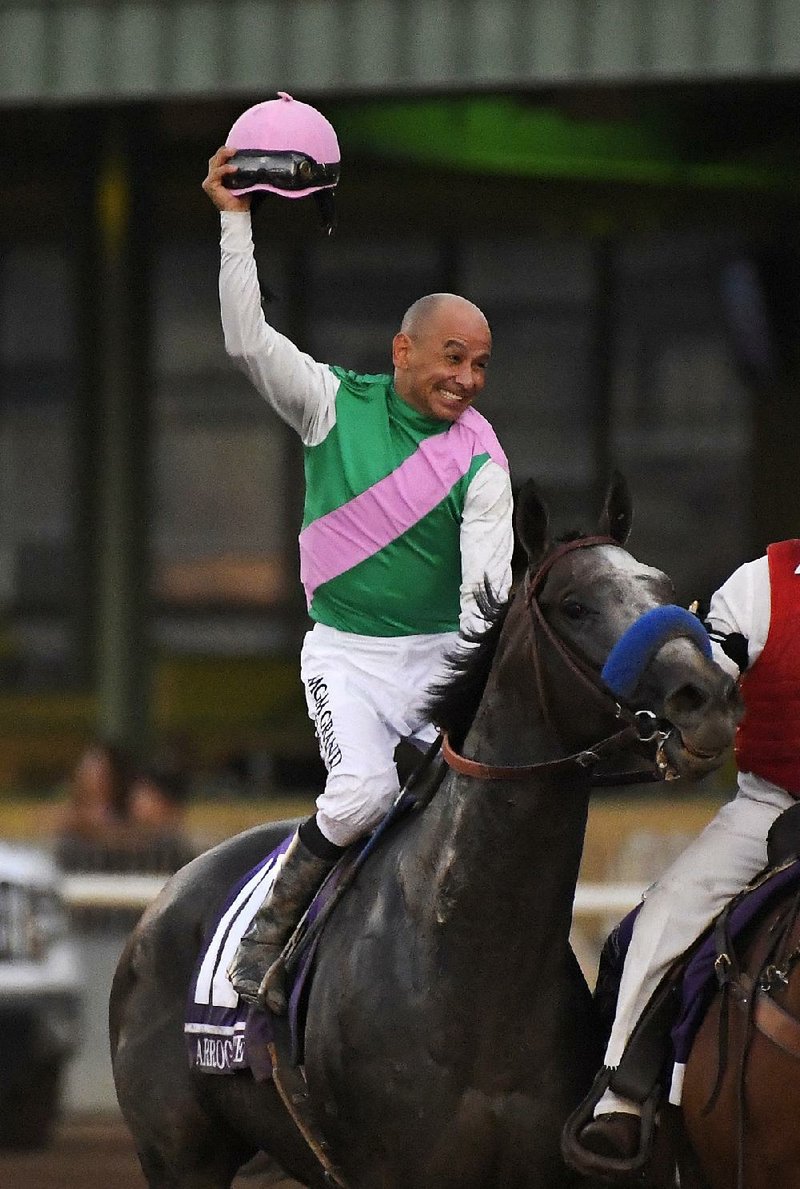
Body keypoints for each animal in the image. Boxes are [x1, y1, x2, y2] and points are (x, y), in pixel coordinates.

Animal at [109, 477, 741, 1184]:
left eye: (664, 589)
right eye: (575, 606)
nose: (706, 695)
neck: (470, 966)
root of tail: (164, 897)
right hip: (179, 1157)